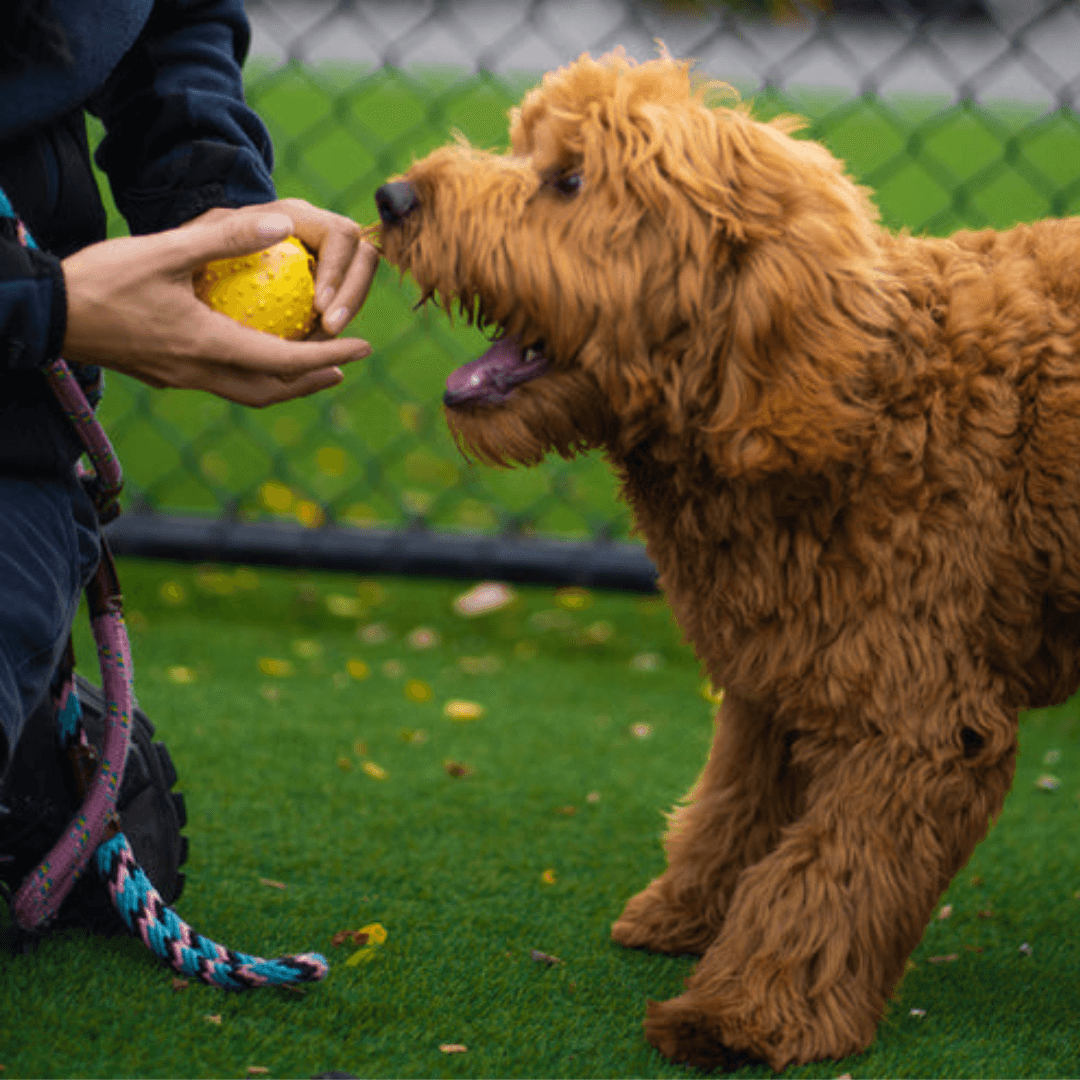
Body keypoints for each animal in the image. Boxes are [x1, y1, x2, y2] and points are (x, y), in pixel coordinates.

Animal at [375, 50, 1080, 1071]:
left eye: (571, 180)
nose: (392, 196)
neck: (855, 399)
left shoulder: (917, 722)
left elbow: (831, 871)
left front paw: (749, 1012)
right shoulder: (775, 670)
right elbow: (737, 803)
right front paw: (689, 911)